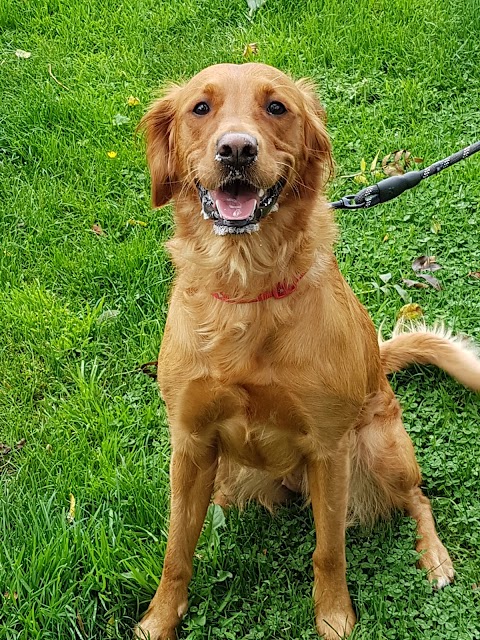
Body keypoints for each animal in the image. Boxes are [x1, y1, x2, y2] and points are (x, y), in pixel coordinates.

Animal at [134, 61, 480, 640]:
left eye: (277, 107)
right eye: (200, 108)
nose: (236, 150)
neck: (247, 288)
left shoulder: (329, 450)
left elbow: (329, 550)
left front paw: (335, 616)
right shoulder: (191, 442)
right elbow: (177, 549)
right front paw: (159, 619)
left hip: (380, 450)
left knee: (418, 497)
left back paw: (434, 558)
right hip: (229, 471)